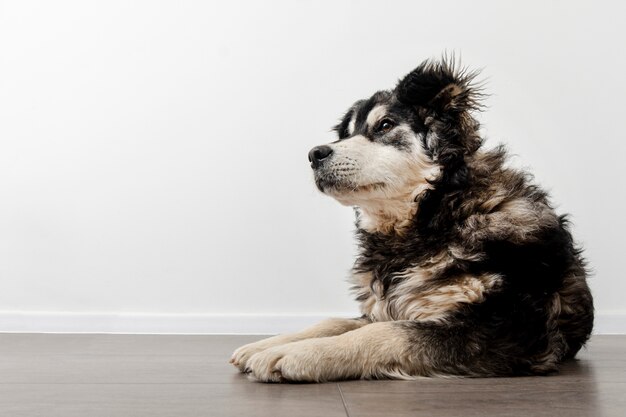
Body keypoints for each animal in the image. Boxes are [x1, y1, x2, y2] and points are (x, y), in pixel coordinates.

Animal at [228, 57, 588, 382]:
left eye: (385, 125)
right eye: (345, 134)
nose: (315, 154)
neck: (438, 213)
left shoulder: (508, 328)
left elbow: (387, 333)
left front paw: (297, 355)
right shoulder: (384, 306)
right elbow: (334, 322)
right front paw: (268, 344)